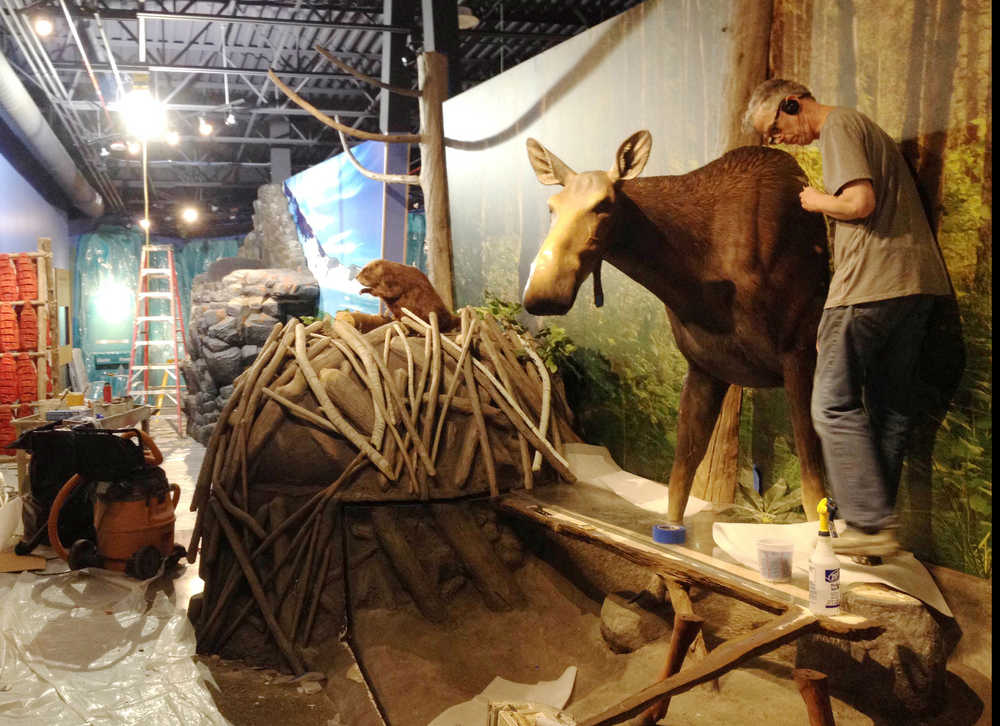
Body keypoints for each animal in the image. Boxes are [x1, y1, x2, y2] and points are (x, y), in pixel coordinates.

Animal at [524, 132, 828, 524]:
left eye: (604, 204)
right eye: (552, 206)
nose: (541, 293)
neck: (696, 288)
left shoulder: (800, 354)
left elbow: (813, 493)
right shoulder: (704, 368)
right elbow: (678, 486)